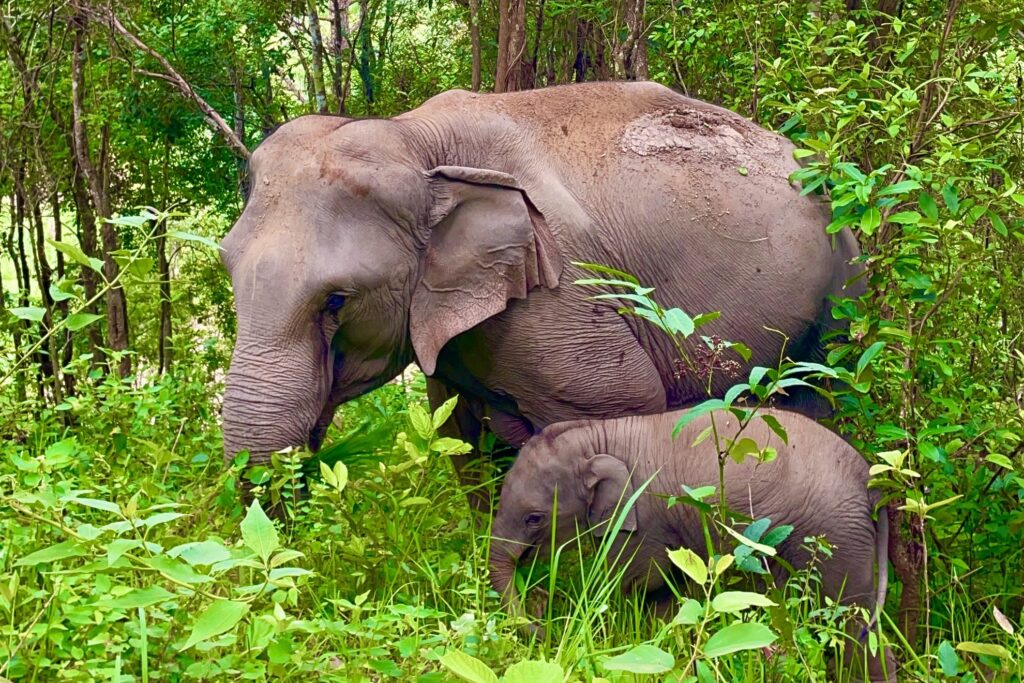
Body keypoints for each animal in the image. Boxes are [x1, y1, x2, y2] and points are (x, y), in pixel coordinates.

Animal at [219, 81, 864, 481]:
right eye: (226, 266)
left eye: (336, 300)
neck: (415, 139)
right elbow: (462, 438)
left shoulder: (559, 297)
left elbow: (621, 407)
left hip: (842, 291)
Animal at [488, 407, 894, 682]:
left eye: (534, 518)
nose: (548, 629)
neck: (596, 434)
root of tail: (871, 481)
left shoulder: (641, 516)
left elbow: (640, 583)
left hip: (835, 533)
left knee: (848, 618)